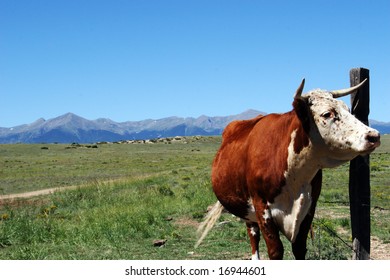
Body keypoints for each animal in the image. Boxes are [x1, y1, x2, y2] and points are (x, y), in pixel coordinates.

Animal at [197, 77, 380, 260]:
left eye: (348, 109)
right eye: (327, 114)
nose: (374, 136)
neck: (294, 174)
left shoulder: (308, 209)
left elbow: (299, 248)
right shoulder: (262, 207)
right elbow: (275, 250)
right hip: (246, 209)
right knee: (253, 235)